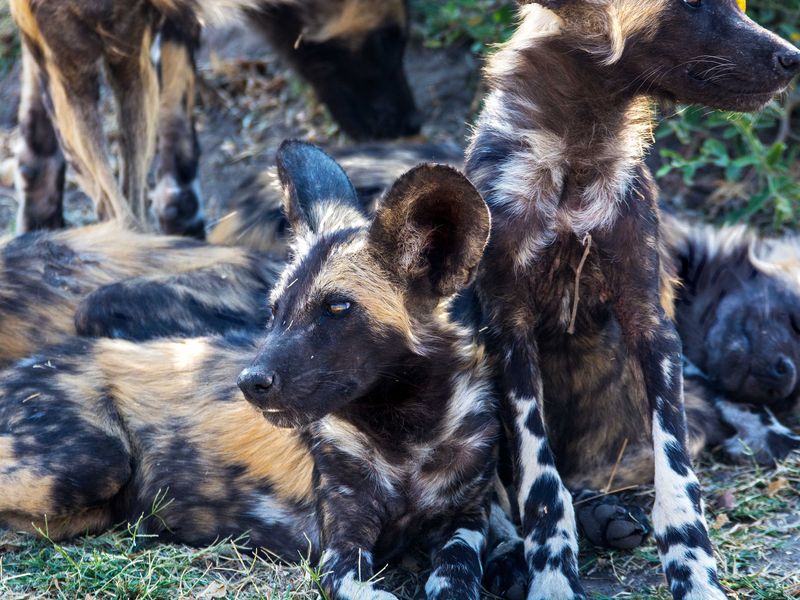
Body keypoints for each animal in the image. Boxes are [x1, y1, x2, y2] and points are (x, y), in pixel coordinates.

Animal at [1, 142, 500, 600]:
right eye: (275, 310)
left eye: (338, 308)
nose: (249, 382)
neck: (408, 438)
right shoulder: (341, 547)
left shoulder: (468, 522)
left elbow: (459, 572)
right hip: (92, 464)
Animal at [462, 2, 800, 596]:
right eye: (692, 5)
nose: (793, 58)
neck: (578, 153)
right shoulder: (509, 335)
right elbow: (539, 487)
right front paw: (552, 577)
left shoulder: (651, 325)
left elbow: (679, 482)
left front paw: (695, 575)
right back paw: (514, 554)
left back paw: (605, 516)